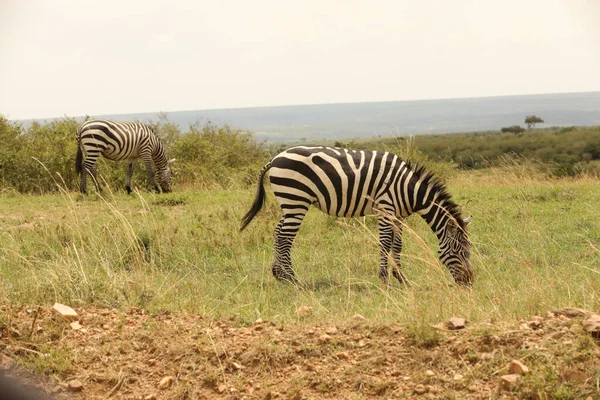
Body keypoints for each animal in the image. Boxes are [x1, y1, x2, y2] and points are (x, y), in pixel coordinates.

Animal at [240, 145, 474, 286]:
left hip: (289, 203)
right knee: (285, 238)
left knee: (277, 233)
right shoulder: (385, 208)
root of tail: (275, 158)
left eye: (468, 251)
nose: (469, 281)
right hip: (296, 200)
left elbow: (398, 245)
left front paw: (401, 279)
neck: (408, 190)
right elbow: (385, 243)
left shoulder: (398, 216)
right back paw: (292, 279)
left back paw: (279, 275)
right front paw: (384, 280)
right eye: (459, 250)